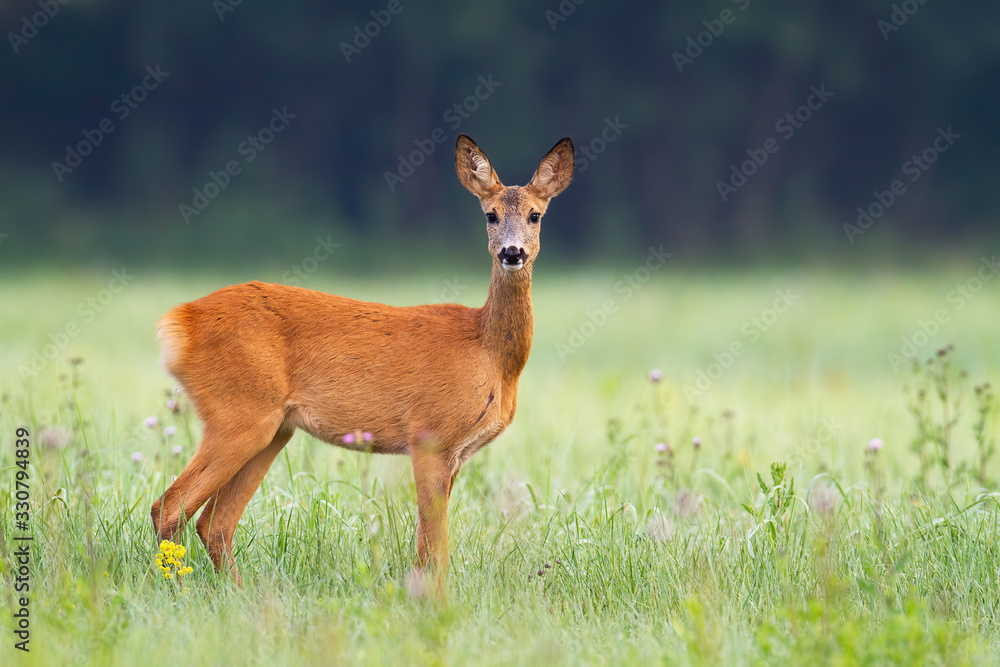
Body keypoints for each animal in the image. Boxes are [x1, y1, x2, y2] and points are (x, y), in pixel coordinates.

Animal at [150, 134, 574, 592]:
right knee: (170, 507)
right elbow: (434, 547)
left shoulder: (455, 454)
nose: (512, 253)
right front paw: (435, 602)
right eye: (490, 215)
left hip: (274, 428)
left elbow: (429, 546)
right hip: (238, 412)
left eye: (535, 215)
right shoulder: (429, 435)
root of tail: (178, 321)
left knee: (214, 523)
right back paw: (176, 590)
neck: (489, 353)